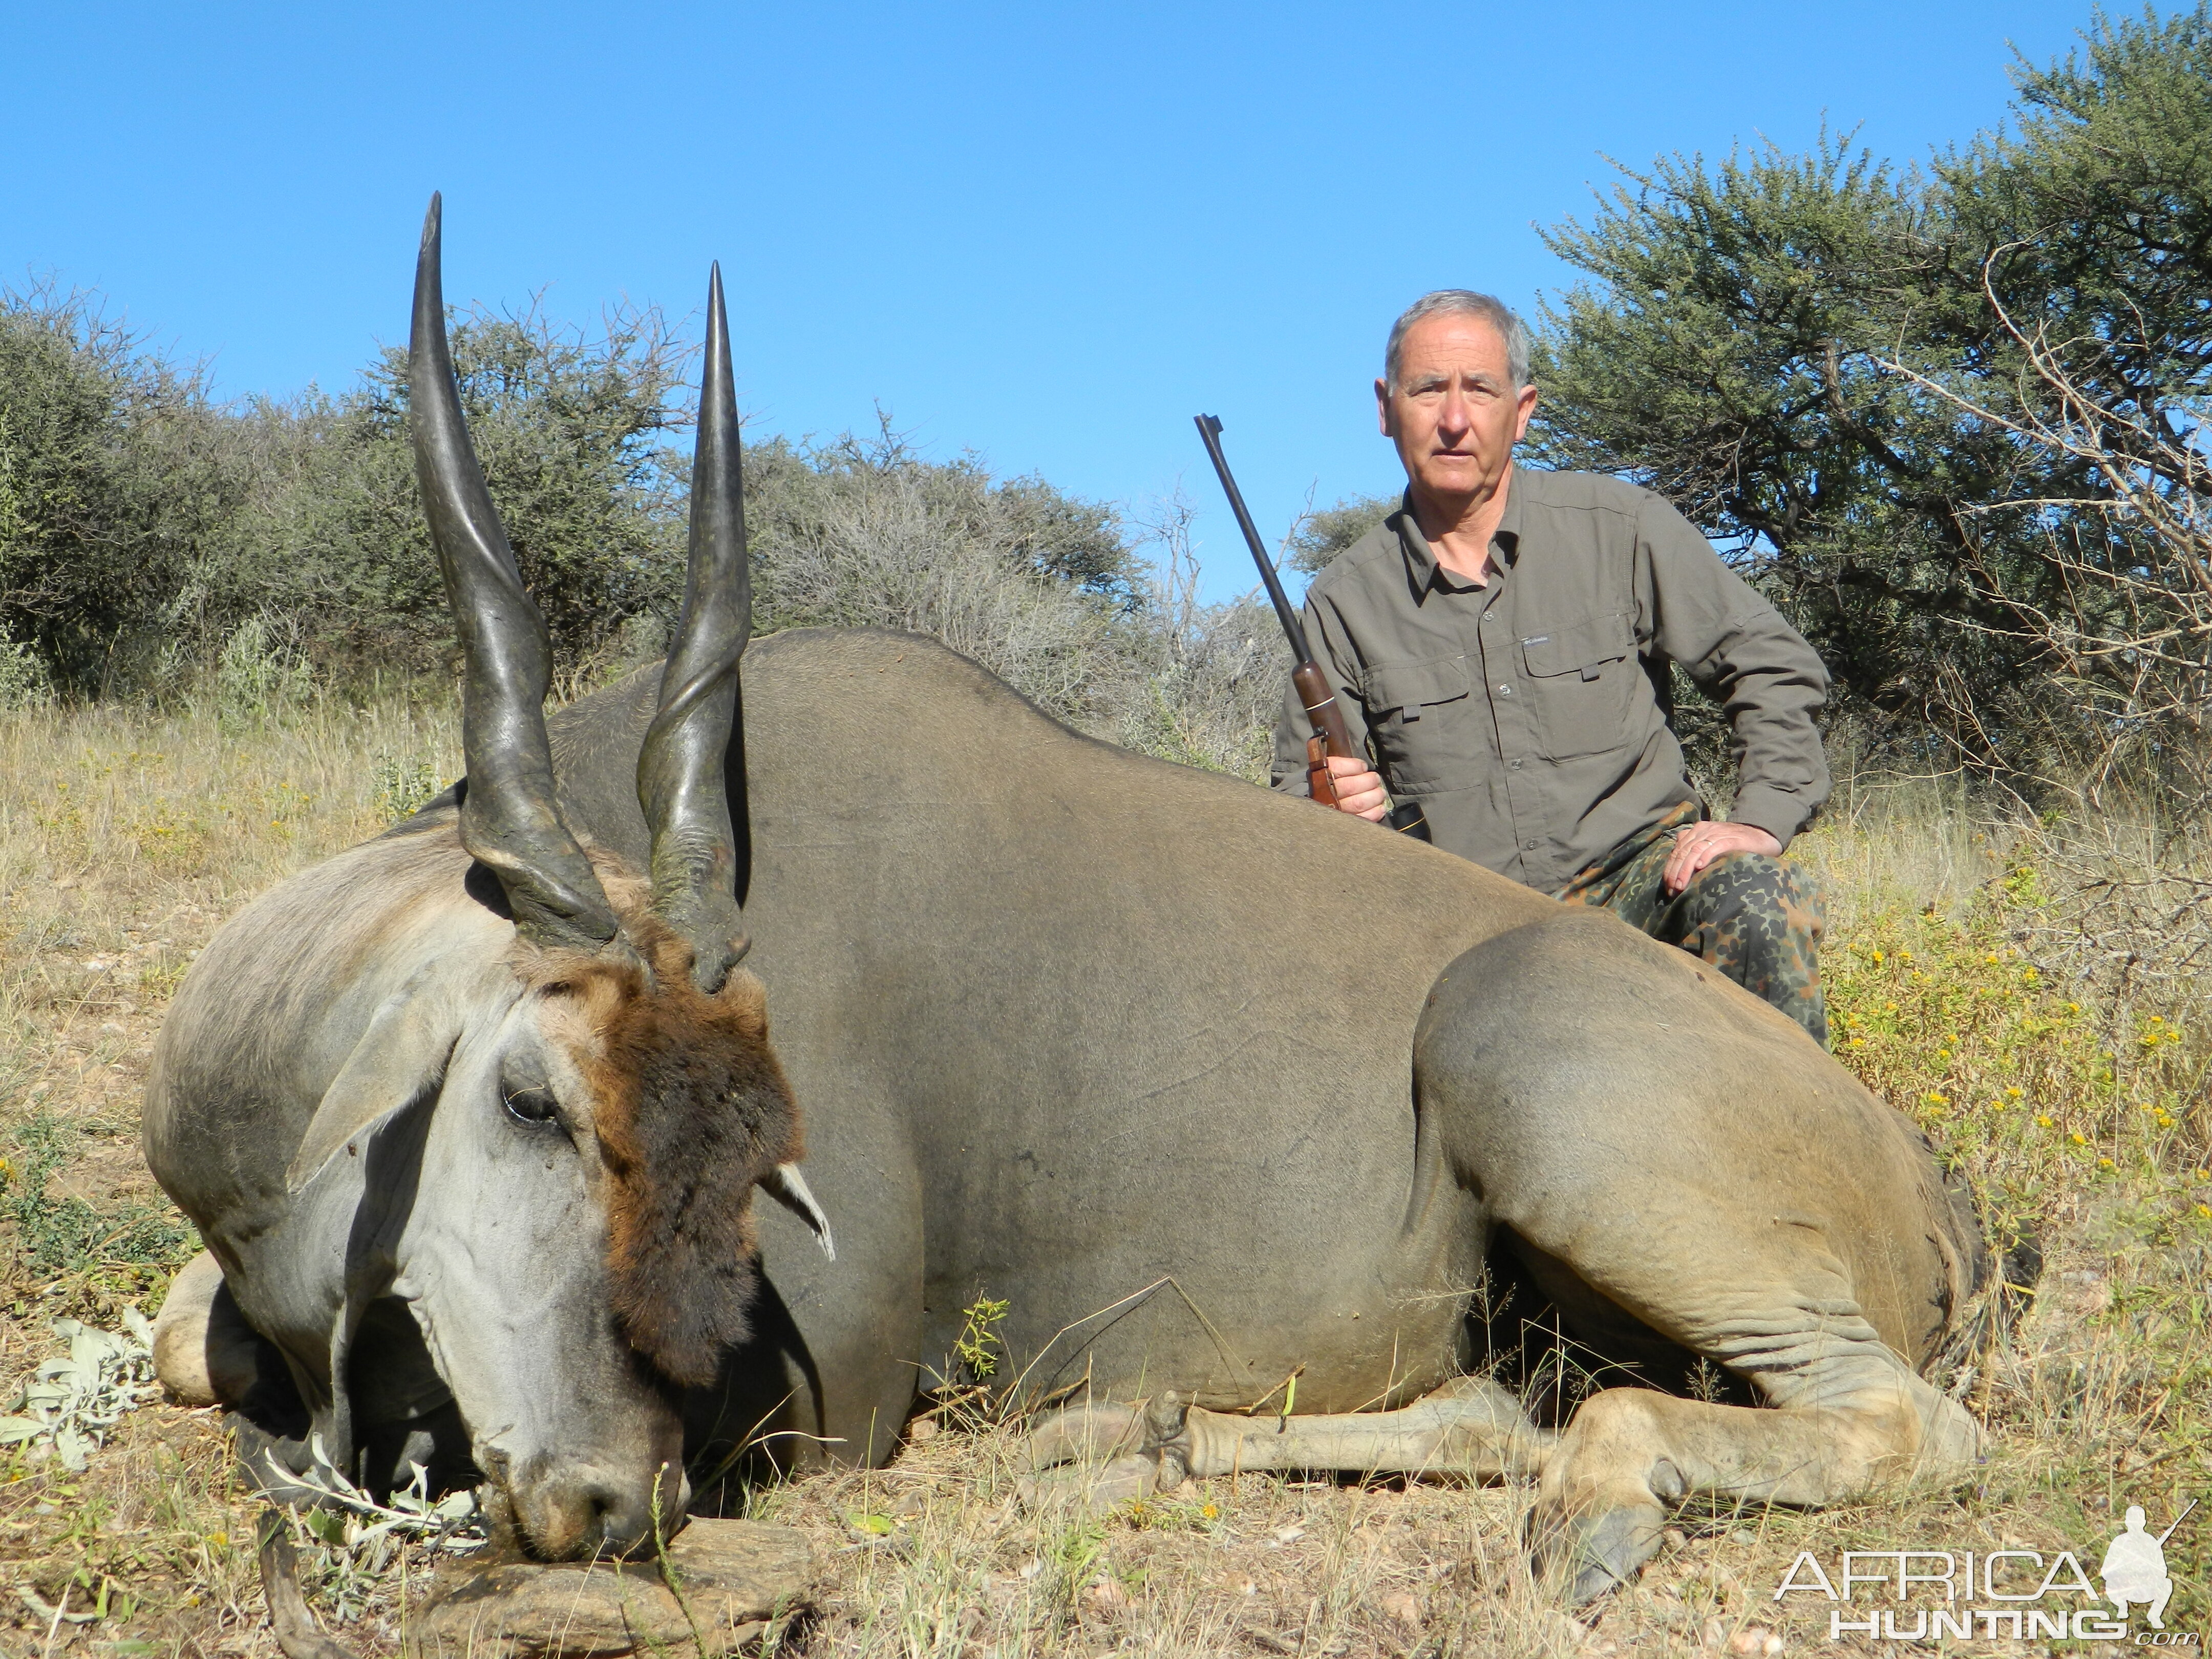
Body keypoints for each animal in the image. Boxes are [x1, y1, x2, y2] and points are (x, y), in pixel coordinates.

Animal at [147, 201, 2000, 1601]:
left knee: (1902, 1426)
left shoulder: (829, 1384)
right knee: (1495, 1412)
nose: (610, 1502)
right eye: (527, 1102)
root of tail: (1928, 1178)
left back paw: (1588, 1516)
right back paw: (1136, 1436)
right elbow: (188, 1345)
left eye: (758, 1154)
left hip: (1537, 1080)